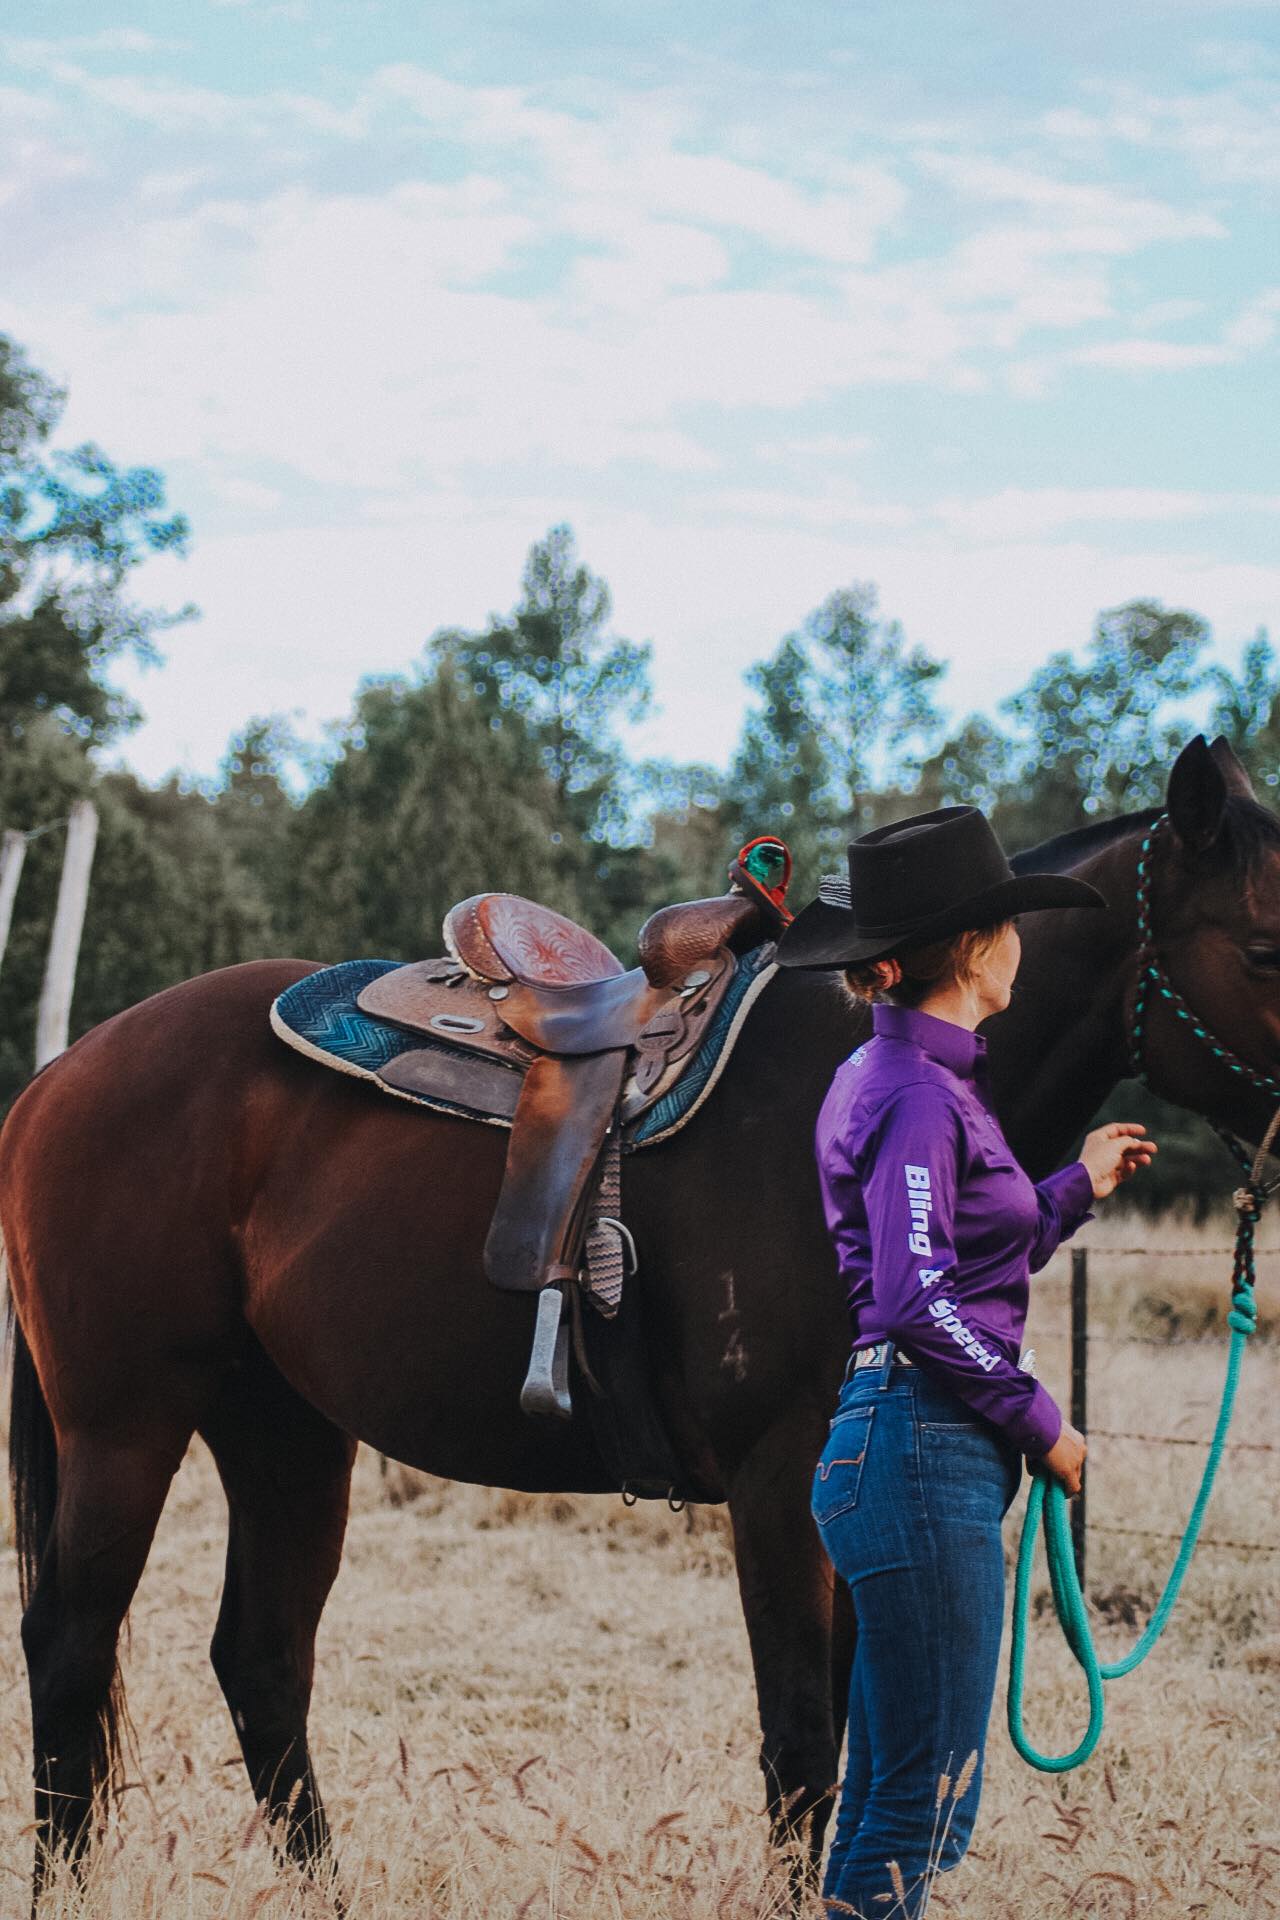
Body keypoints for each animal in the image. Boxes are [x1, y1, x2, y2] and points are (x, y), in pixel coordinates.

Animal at [7, 725, 1280, 1896]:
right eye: (1266, 942)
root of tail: (63, 1073)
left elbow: (857, 1742)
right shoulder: (780, 1484)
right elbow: (802, 1744)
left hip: (286, 1431)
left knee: (262, 1661)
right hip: (124, 1426)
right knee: (71, 1647)